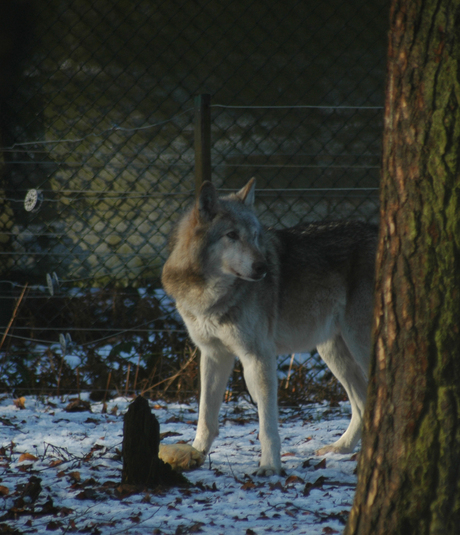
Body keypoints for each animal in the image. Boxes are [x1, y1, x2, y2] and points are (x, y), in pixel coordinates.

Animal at [162, 180, 378, 478]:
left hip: (357, 344)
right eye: (232, 235)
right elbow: (205, 415)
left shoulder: (258, 357)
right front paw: (195, 454)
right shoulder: (213, 355)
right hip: (333, 351)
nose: (263, 267)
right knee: (362, 402)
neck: (210, 295)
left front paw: (270, 466)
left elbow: (267, 425)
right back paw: (341, 448)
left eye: (255, 236)